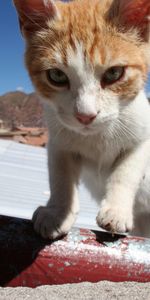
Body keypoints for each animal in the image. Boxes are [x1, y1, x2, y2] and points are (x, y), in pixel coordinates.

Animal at [13, 0, 150, 239]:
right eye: (57, 76)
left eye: (114, 73)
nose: (86, 115)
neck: (97, 136)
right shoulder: (58, 141)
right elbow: (60, 176)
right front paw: (57, 213)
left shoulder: (143, 138)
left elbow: (126, 172)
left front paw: (116, 211)